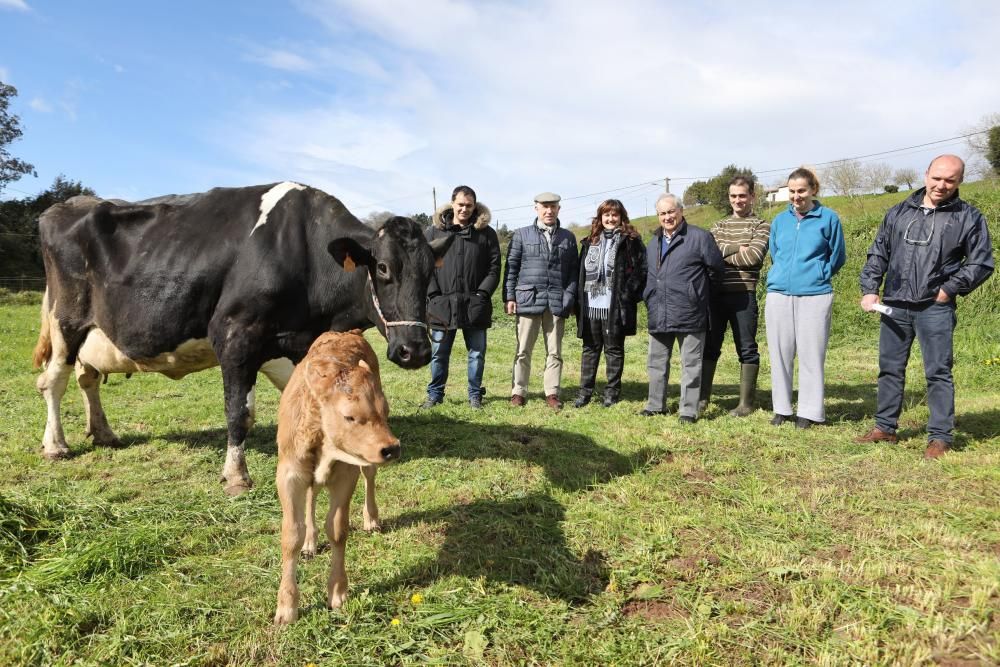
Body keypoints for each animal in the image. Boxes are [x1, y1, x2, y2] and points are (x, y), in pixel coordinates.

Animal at [33, 183, 450, 496]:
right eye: (383, 268)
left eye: (430, 272)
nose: (415, 350)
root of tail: (69, 204)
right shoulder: (235, 335)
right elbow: (239, 413)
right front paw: (236, 476)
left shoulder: (297, 348)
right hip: (66, 320)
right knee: (53, 381)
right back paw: (56, 445)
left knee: (87, 378)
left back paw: (104, 433)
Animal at [276, 332, 400, 628]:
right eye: (349, 416)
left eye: (385, 410)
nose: (392, 448)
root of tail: (348, 332)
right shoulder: (289, 474)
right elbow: (291, 535)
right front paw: (286, 607)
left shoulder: (346, 472)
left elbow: (337, 528)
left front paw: (337, 593)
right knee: (312, 495)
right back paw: (310, 543)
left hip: (365, 461)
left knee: (370, 477)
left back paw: (371, 519)